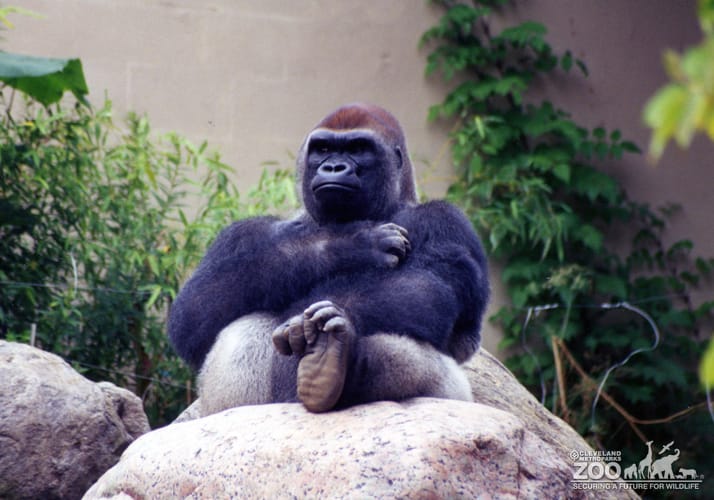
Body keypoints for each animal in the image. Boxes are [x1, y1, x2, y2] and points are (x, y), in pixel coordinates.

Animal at [167, 103, 489, 414]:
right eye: (322, 149)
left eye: (358, 148)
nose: (333, 166)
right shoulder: (239, 233)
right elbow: (195, 311)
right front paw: (349, 243)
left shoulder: (447, 220)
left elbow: (427, 286)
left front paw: (318, 324)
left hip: (455, 397)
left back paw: (336, 359)